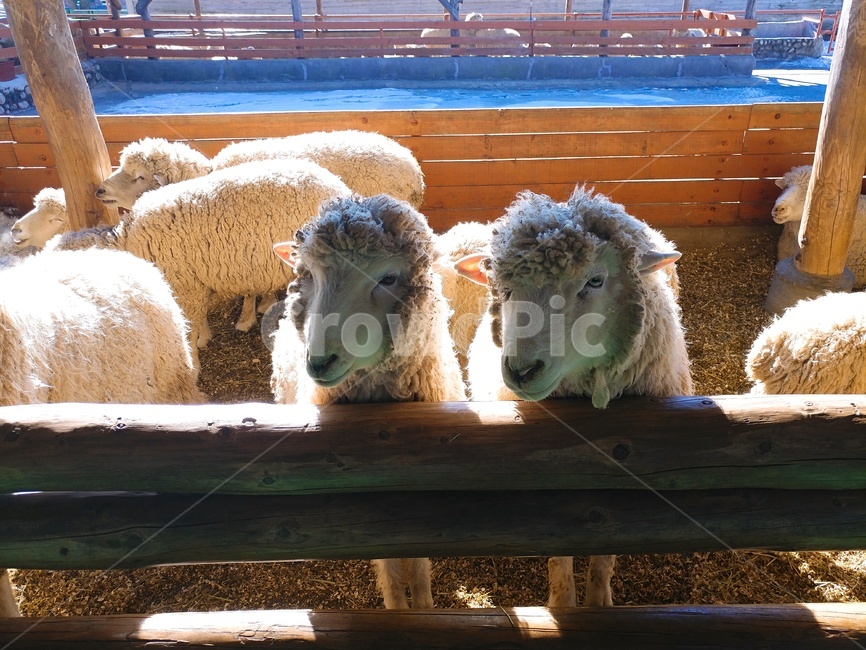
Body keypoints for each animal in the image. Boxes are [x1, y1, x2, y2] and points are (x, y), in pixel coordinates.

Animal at [51, 159, 352, 367]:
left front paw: (194, 357)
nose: (99, 191)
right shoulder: (195, 281)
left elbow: (191, 321)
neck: (131, 242)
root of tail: (339, 186)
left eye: (139, 176)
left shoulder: (185, 285)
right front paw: (204, 338)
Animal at [270, 193, 465, 610]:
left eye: (388, 278)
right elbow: (389, 565)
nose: (319, 361)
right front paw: (398, 607)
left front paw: (423, 606)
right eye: (312, 275)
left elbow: (419, 564)